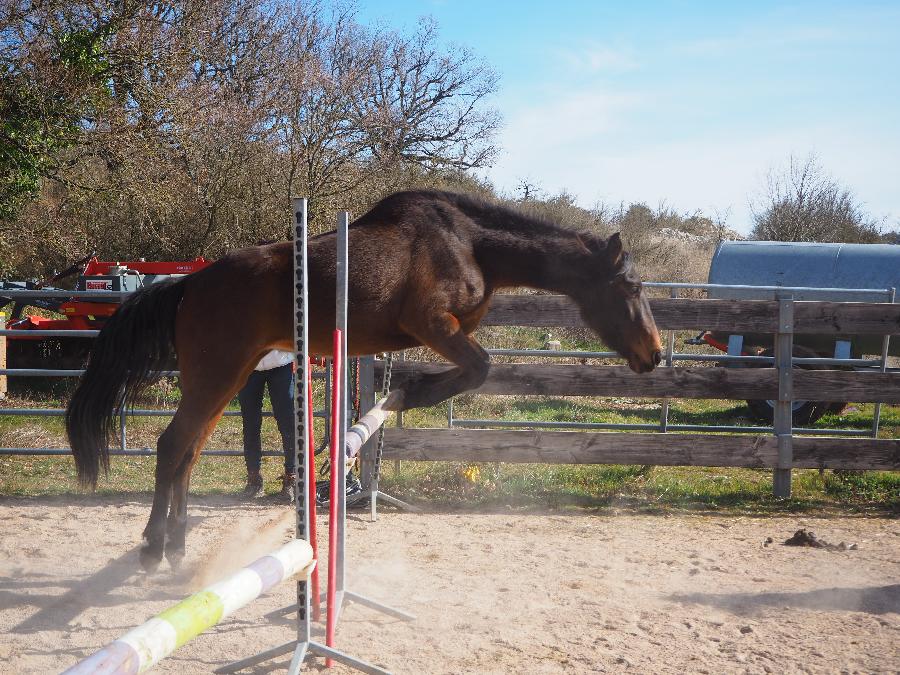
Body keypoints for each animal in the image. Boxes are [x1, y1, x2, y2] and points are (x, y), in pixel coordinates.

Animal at [65, 190, 660, 572]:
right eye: (629, 287)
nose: (653, 355)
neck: (472, 245)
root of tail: (189, 284)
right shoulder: (432, 323)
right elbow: (480, 366)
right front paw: (414, 395)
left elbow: (472, 368)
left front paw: (405, 397)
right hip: (217, 376)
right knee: (172, 446)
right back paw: (151, 550)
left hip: (224, 379)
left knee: (186, 453)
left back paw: (177, 551)